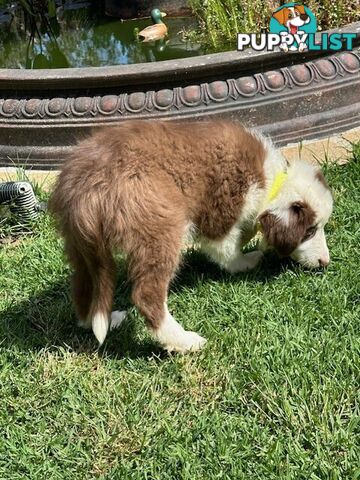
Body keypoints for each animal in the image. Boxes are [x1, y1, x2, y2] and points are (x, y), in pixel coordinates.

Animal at [49, 120, 334, 352]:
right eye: (309, 231)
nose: (325, 262)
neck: (271, 179)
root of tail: (86, 184)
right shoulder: (220, 211)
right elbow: (226, 248)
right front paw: (247, 261)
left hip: (80, 244)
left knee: (84, 286)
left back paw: (107, 319)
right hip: (159, 228)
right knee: (146, 296)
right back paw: (185, 342)